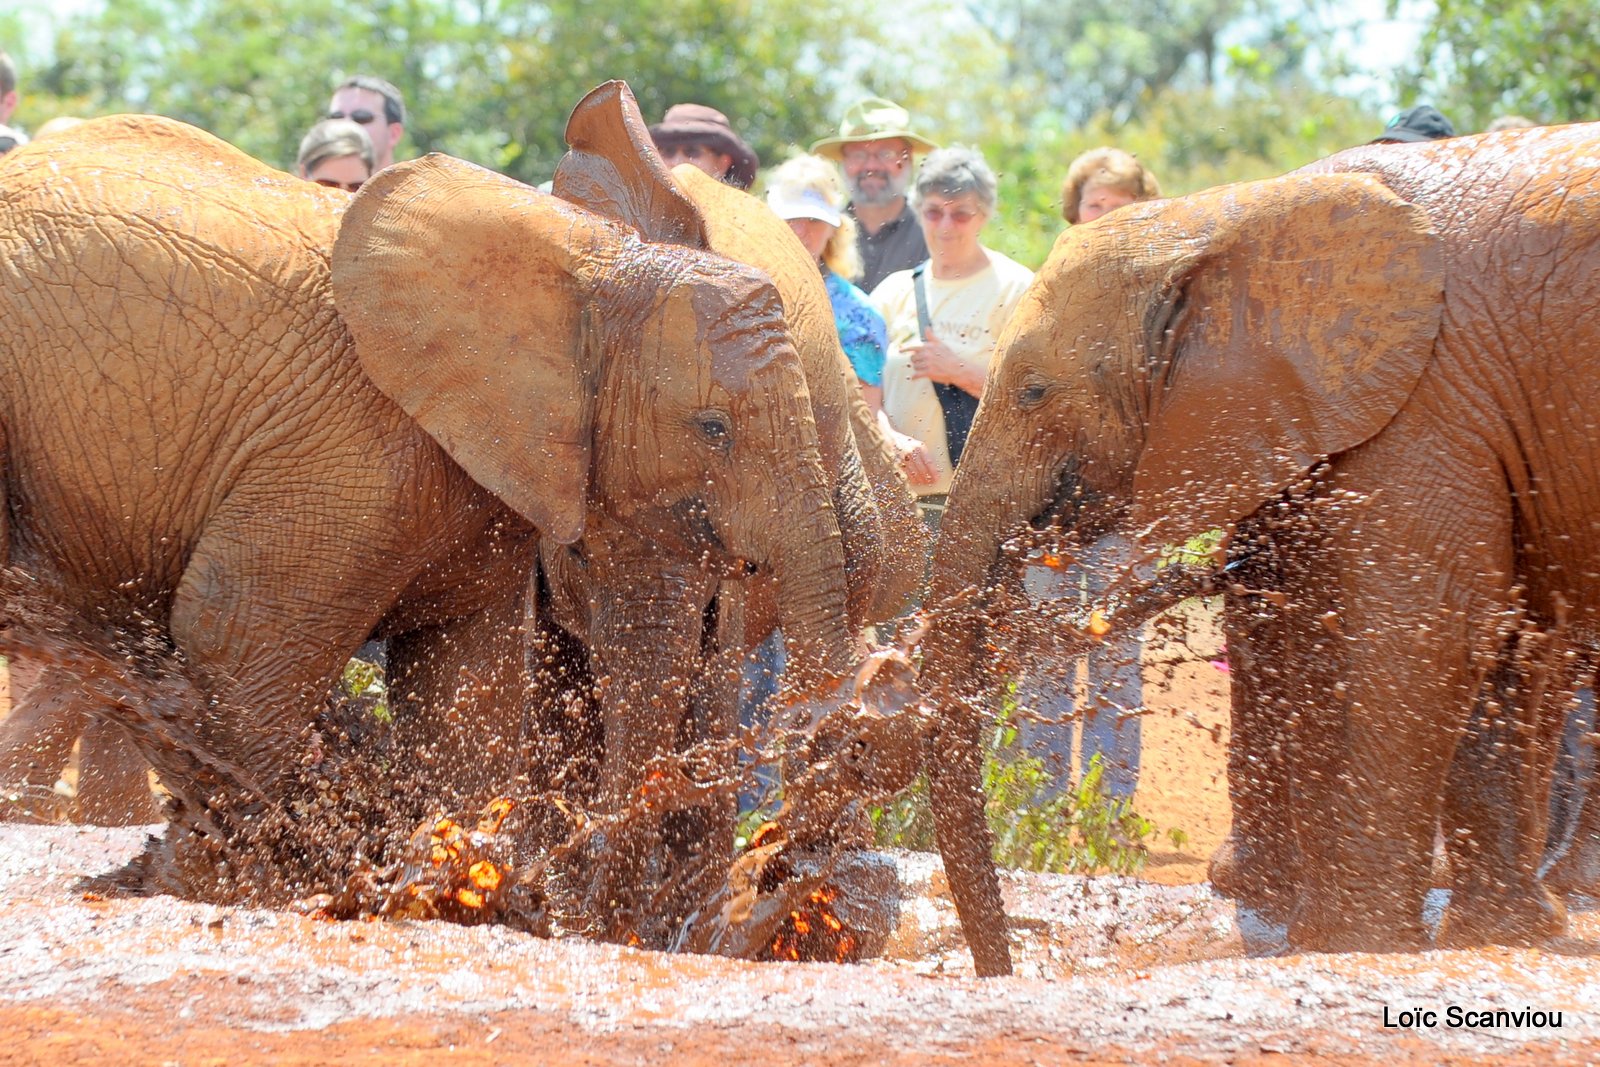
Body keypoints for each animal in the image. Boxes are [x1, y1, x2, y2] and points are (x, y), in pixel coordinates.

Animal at [0, 116, 857, 889]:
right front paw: (252, 885)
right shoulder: (353, 444)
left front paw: (437, 877)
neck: (590, 260)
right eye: (714, 429)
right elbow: (235, 646)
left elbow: (462, 689)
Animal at [921, 120, 1600, 972]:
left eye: (1033, 390)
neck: (1225, 219)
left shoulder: (1427, 399)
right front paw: (1495, 935)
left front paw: (1354, 944)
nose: (1003, 967)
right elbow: (1495, 638)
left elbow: (1422, 629)